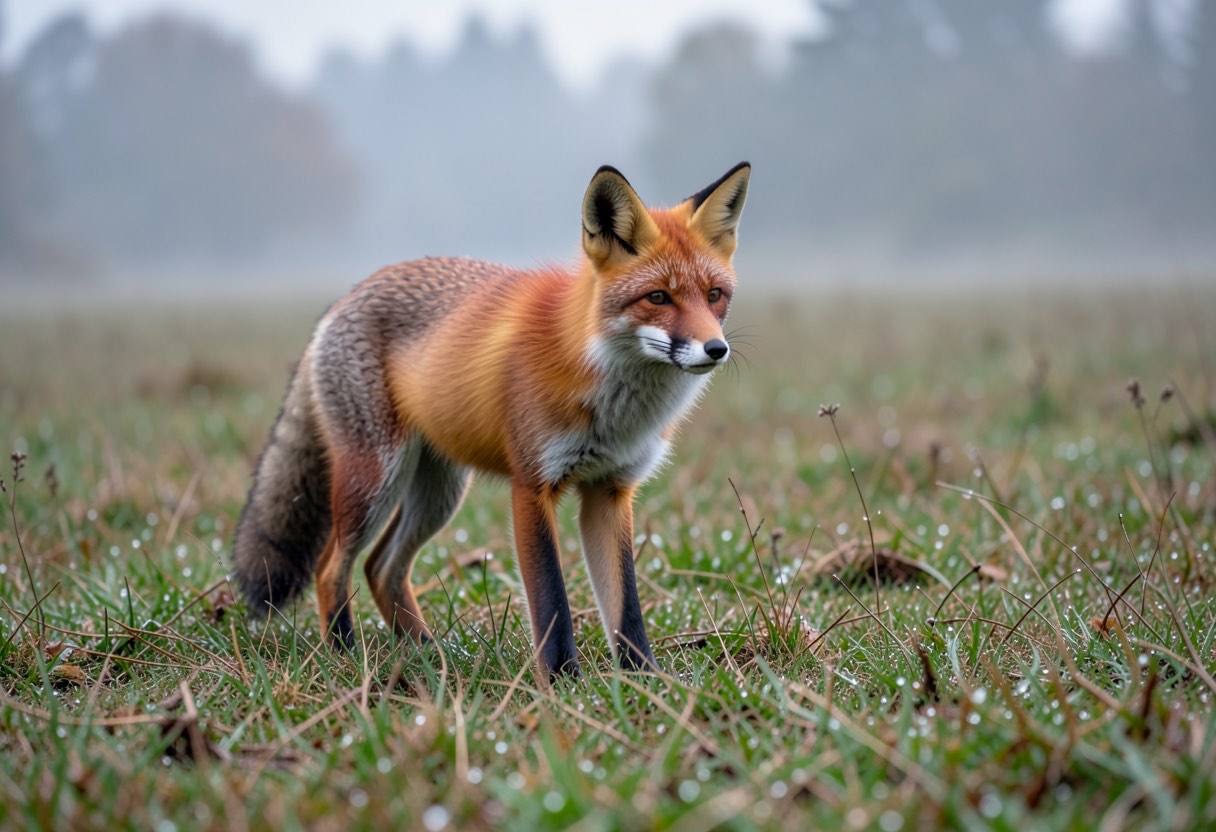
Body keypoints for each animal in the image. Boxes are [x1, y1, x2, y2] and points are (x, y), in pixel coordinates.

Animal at [231, 162, 750, 678]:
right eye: (658, 297)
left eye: (715, 295)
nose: (715, 349)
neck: (613, 402)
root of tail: (344, 299)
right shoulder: (532, 485)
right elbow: (551, 600)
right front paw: (562, 682)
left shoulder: (611, 489)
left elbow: (626, 607)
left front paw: (645, 681)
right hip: (375, 480)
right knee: (330, 567)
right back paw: (343, 655)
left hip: (439, 493)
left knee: (380, 567)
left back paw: (429, 652)